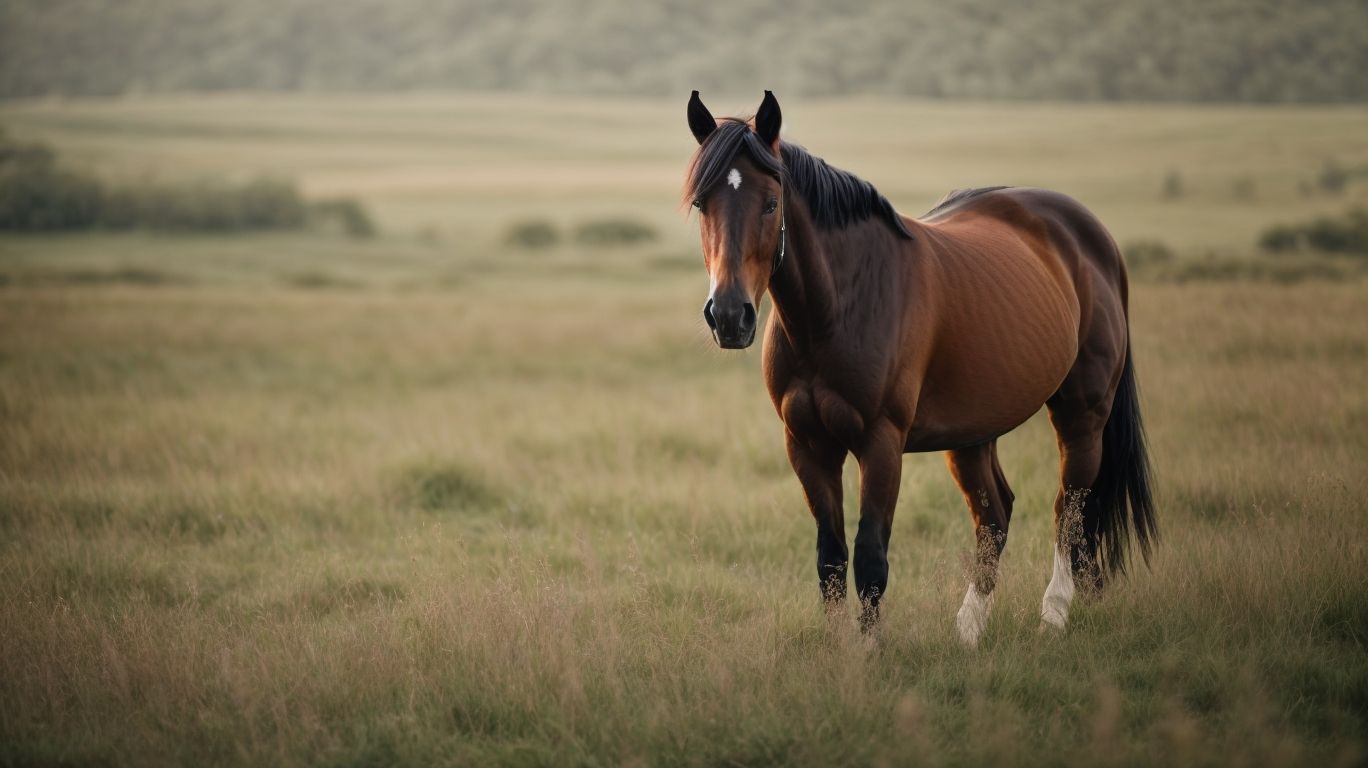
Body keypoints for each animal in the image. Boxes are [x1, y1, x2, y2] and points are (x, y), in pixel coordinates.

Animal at [683, 91, 1156, 645]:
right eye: (702, 204)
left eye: (771, 203)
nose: (729, 316)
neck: (839, 307)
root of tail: (1092, 236)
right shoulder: (807, 444)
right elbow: (830, 558)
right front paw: (837, 650)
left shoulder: (881, 444)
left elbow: (870, 556)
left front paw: (867, 652)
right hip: (973, 434)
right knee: (995, 517)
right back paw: (969, 632)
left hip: (1082, 414)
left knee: (1070, 510)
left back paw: (1053, 617)